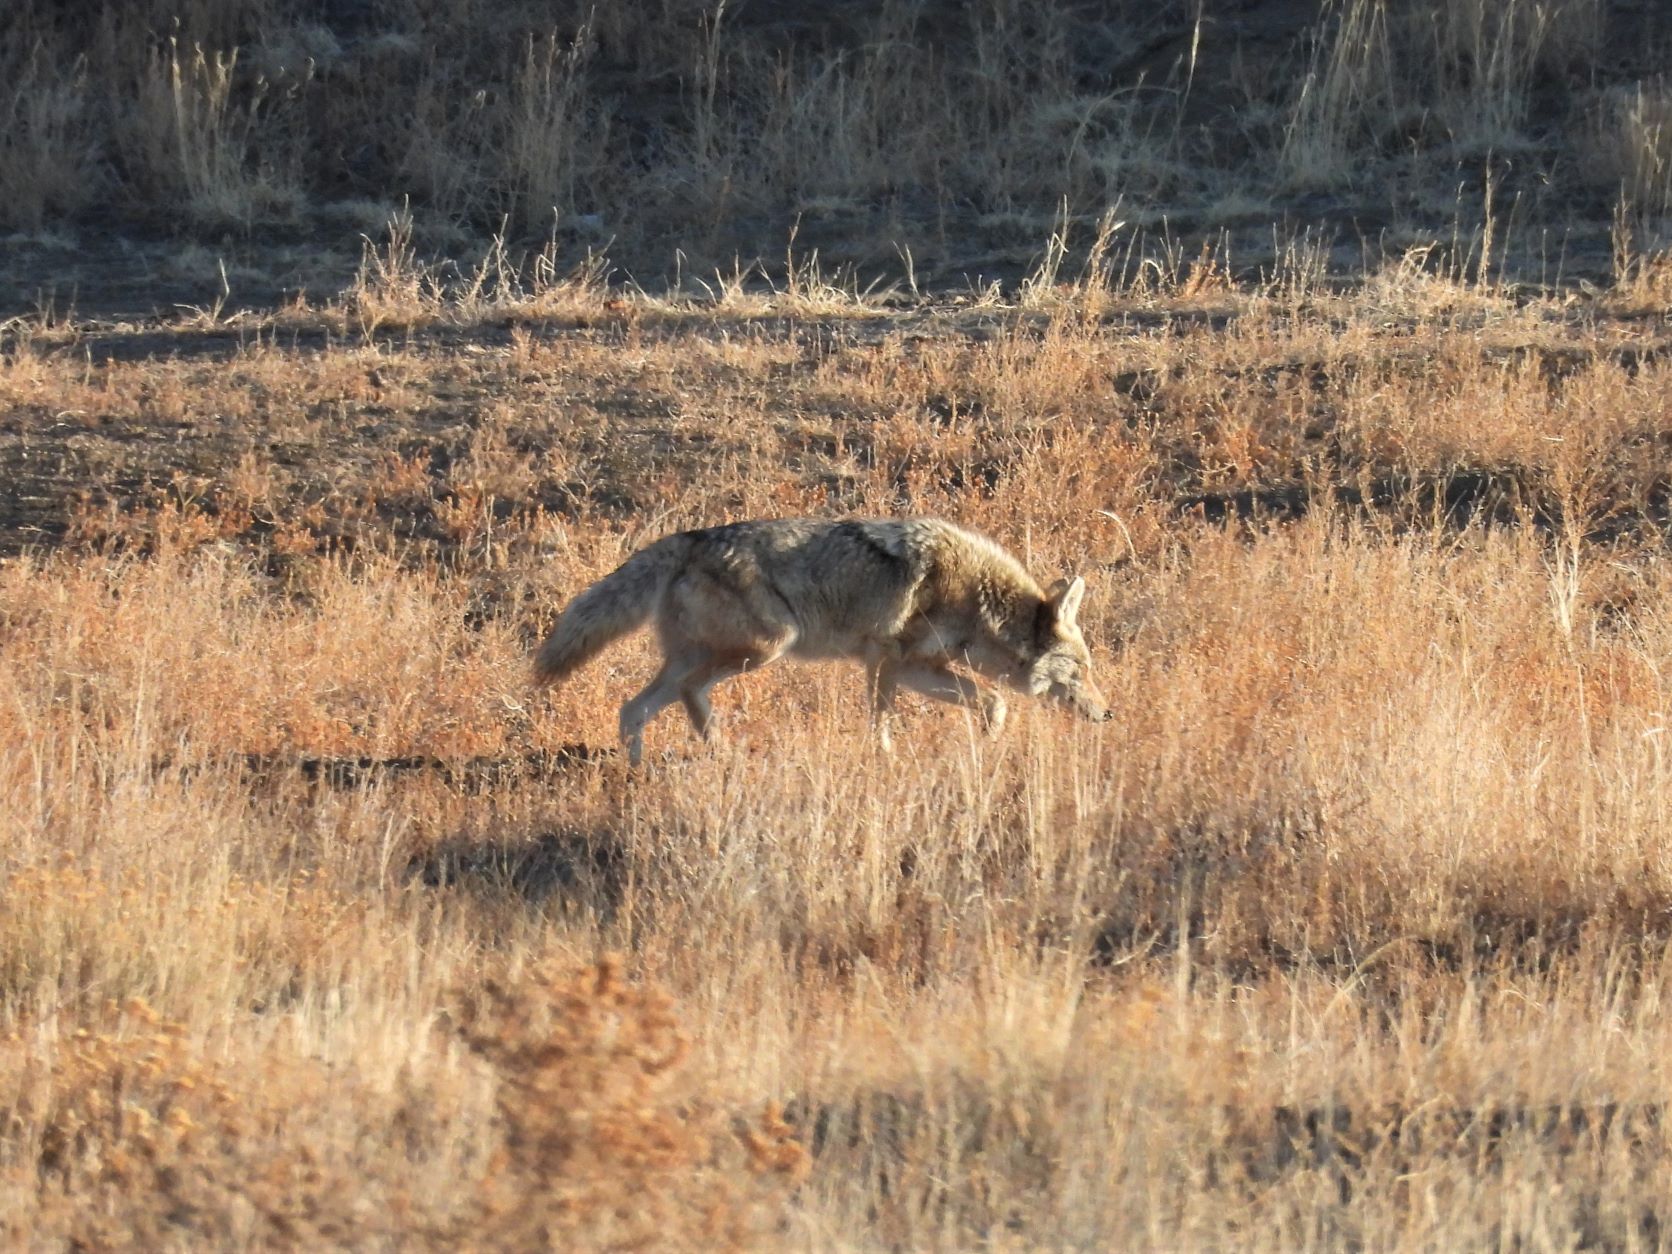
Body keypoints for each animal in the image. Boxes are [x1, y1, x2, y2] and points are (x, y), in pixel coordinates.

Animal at [534, 517, 1111, 764]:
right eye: (1081, 671)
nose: (1108, 714)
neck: (977, 599)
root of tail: (686, 540)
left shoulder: (916, 669)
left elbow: (994, 703)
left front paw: (987, 745)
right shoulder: (885, 661)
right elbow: (881, 722)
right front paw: (884, 759)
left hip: (705, 657)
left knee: (636, 707)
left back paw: (648, 768)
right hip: (767, 646)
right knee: (682, 694)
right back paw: (713, 748)